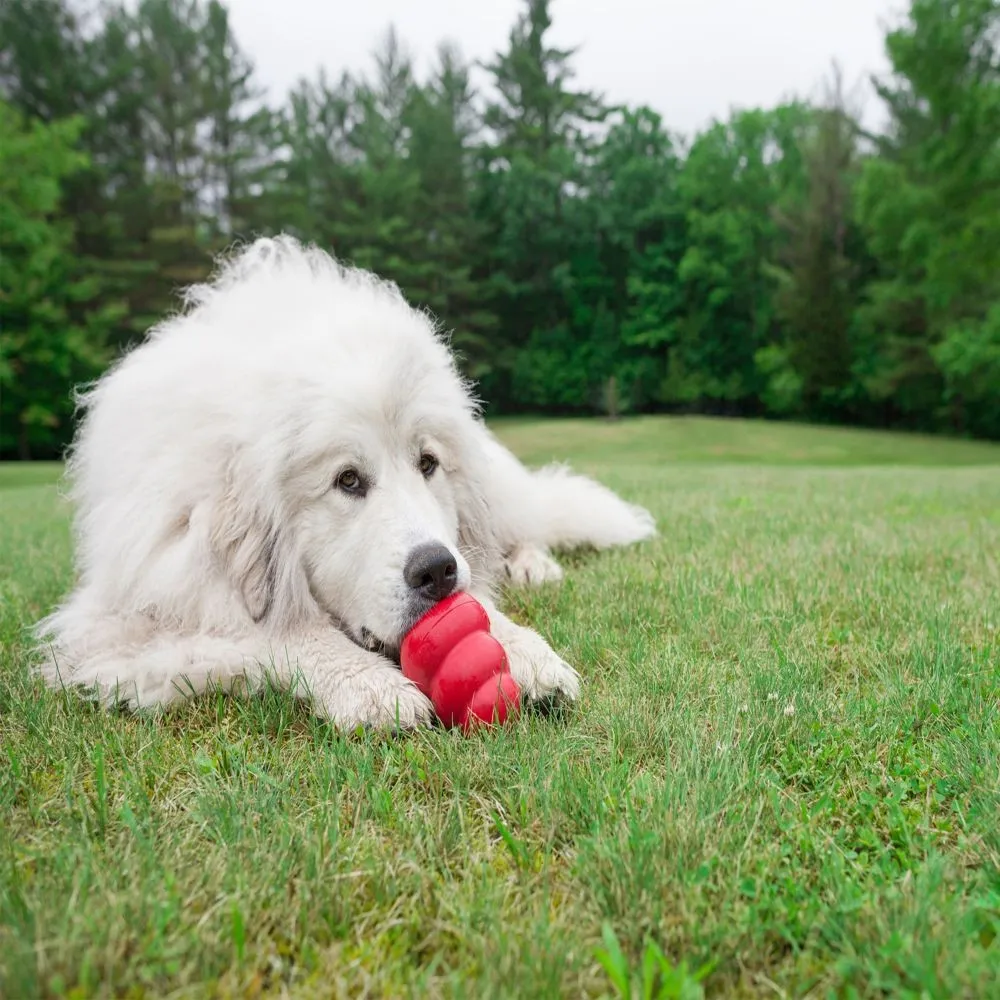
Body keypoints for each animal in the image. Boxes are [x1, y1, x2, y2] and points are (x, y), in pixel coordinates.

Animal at [33, 238, 656, 732]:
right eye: (347, 480)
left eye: (427, 463)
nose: (436, 570)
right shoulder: (132, 620)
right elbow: (278, 631)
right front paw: (370, 685)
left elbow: (482, 602)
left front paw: (528, 651)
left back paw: (530, 565)